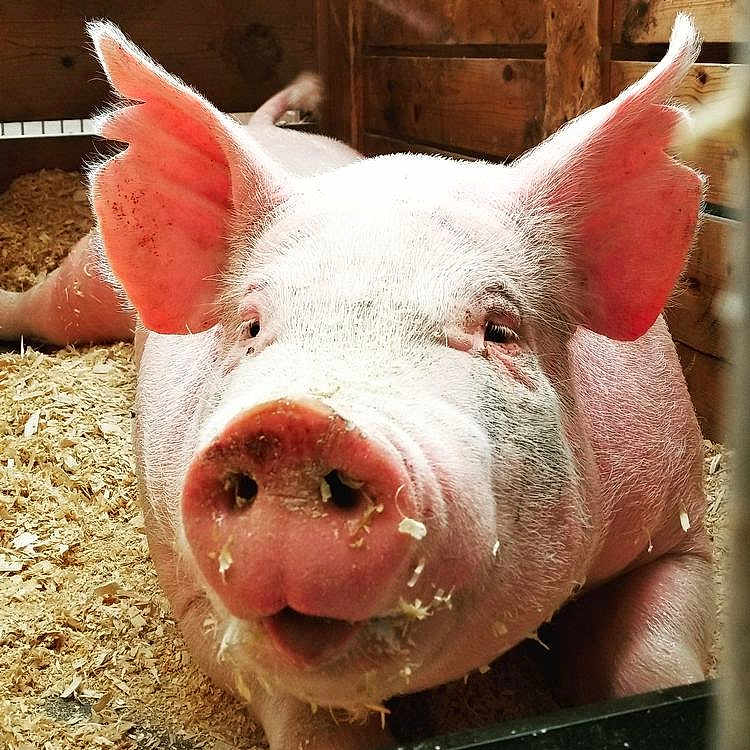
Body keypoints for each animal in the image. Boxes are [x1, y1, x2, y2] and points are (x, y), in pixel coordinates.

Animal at [0, 14, 714, 749]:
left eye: (499, 330)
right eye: (251, 326)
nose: (293, 426)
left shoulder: (679, 527)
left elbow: (660, 665)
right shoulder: (197, 599)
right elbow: (303, 711)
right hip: (87, 274)